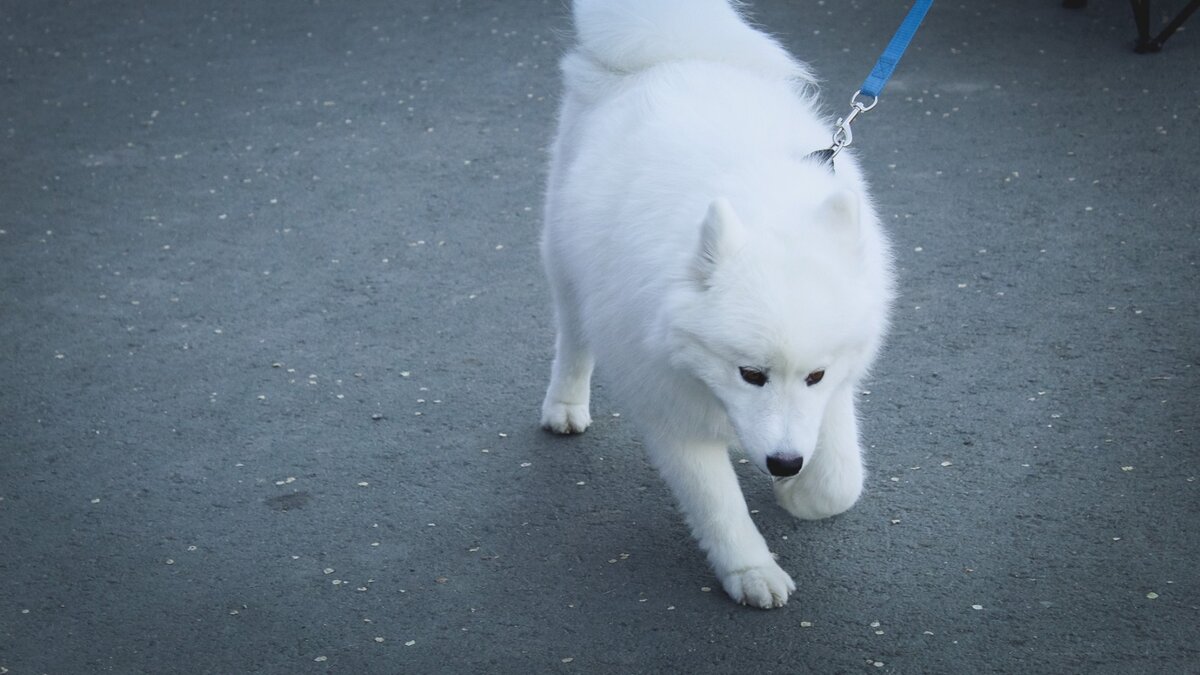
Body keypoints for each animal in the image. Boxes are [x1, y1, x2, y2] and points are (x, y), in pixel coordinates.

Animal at [540, 0, 897, 607]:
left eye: (816, 376)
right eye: (750, 374)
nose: (784, 462)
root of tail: (677, 51)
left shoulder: (835, 385)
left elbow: (839, 482)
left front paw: (802, 493)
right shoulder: (669, 407)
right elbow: (718, 506)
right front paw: (751, 571)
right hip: (566, 258)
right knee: (573, 333)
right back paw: (564, 405)